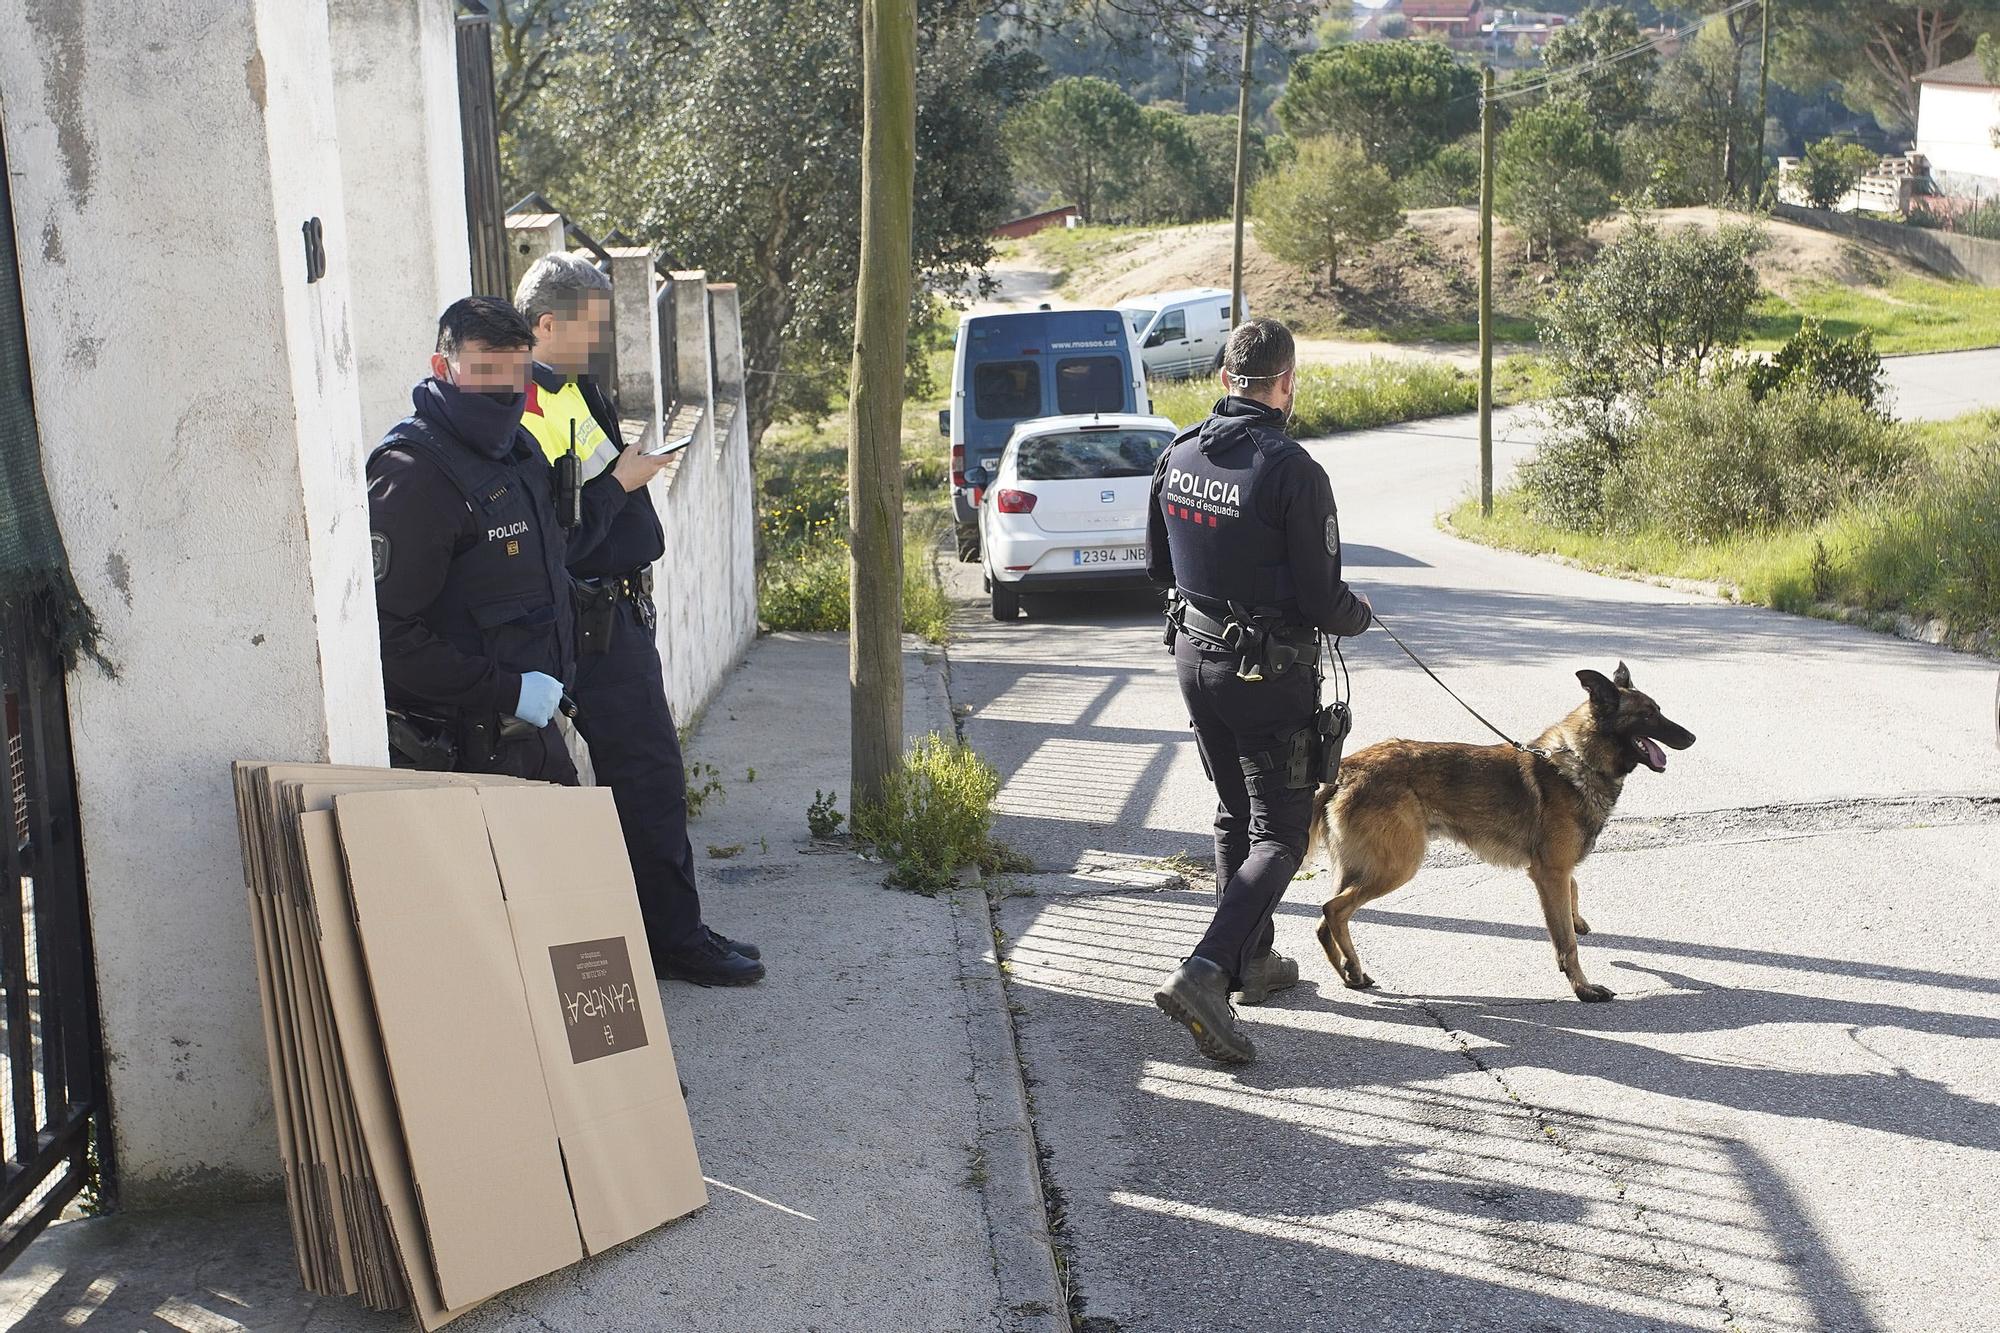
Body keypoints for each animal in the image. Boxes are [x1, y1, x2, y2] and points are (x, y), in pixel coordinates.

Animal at [1312, 660, 1688, 1000]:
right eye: (1648, 715)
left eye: (1658, 710)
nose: (1692, 737)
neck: (1579, 762)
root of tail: (1348, 768)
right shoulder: (1549, 873)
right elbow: (1566, 941)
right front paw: (1583, 988)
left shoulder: (1555, 870)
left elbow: (1574, 891)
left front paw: (1577, 919)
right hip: (1397, 866)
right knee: (1334, 909)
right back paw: (1354, 967)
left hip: (1361, 867)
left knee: (1324, 920)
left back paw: (1350, 974)